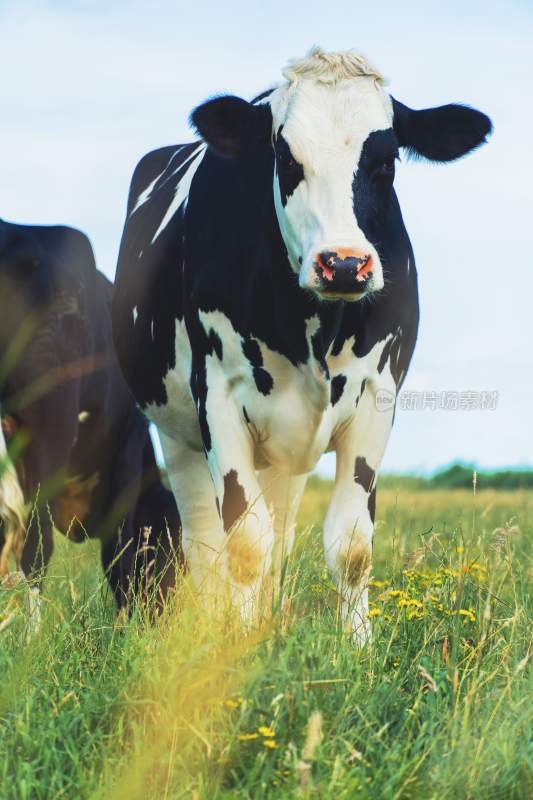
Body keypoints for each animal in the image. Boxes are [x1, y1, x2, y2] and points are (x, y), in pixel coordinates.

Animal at [0, 220, 181, 624]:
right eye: (172, 541)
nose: (166, 615)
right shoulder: (127, 451)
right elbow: (119, 554)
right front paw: (126, 627)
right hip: (51, 418)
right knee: (38, 546)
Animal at [113, 47, 490, 640]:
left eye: (387, 162)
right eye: (286, 159)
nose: (344, 264)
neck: (313, 327)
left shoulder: (377, 396)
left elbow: (351, 545)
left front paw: (356, 646)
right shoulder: (217, 397)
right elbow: (244, 544)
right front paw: (238, 645)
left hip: (283, 456)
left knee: (280, 531)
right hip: (176, 431)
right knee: (205, 542)